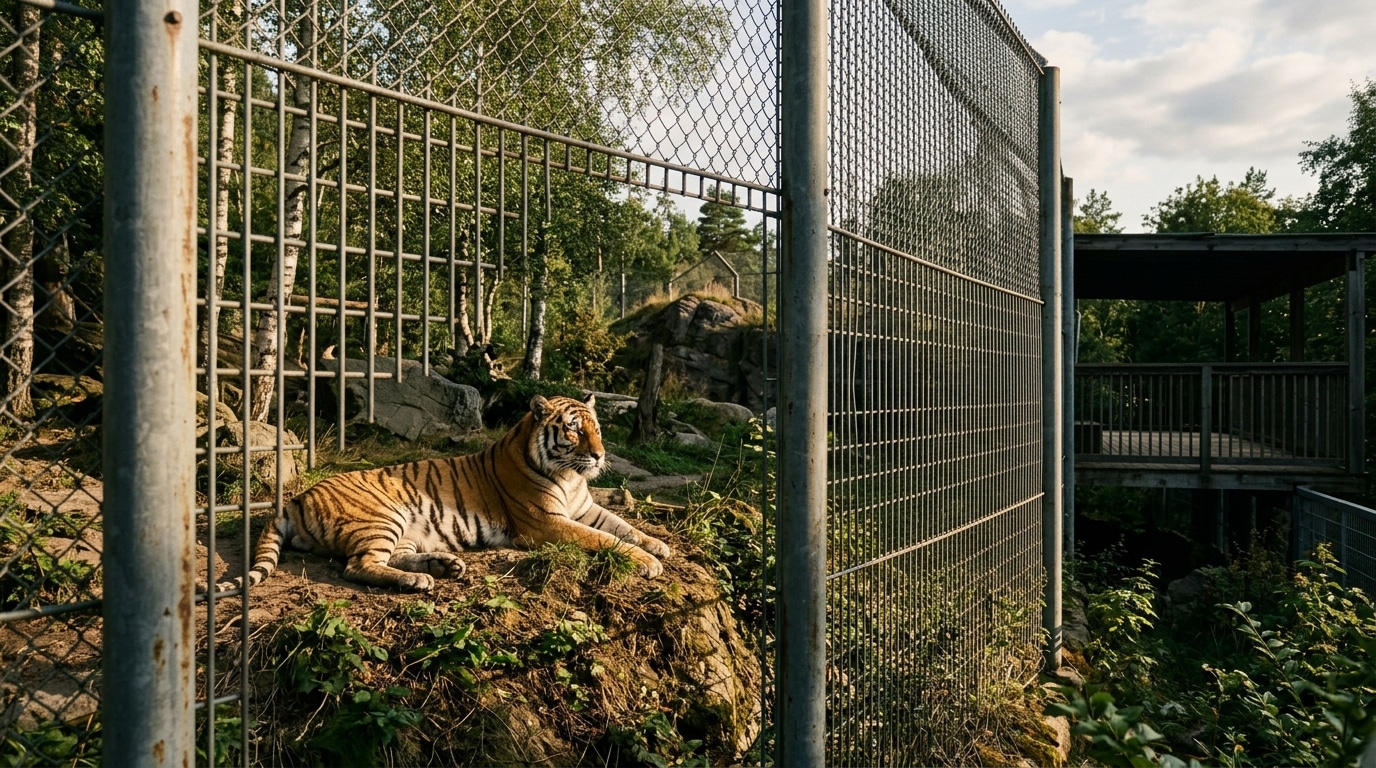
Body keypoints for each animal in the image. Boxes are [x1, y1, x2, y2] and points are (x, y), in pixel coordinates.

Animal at [215, 394, 671, 592]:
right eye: (574, 430)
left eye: (598, 429)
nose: (599, 455)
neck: (571, 477)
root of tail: (296, 497)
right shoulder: (547, 523)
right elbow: (604, 539)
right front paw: (648, 562)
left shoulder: (584, 508)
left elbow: (621, 526)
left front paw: (658, 546)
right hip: (382, 516)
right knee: (358, 566)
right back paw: (418, 581)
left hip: (404, 528)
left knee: (390, 556)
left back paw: (443, 566)